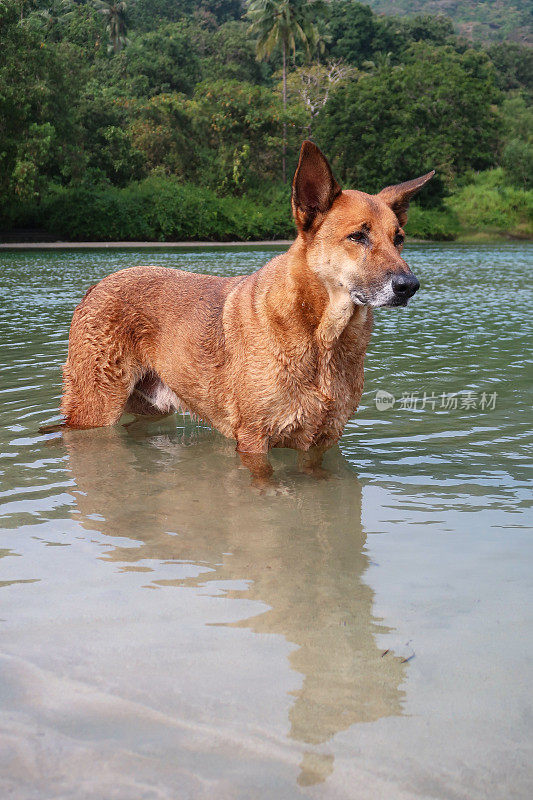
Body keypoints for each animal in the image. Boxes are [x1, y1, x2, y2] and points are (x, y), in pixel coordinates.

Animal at [60, 141, 432, 478]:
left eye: (399, 239)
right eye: (357, 237)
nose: (409, 286)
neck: (323, 338)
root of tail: (96, 287)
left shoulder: (321, 443)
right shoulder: (254, 441)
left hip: (151, 408)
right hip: (96, 409)